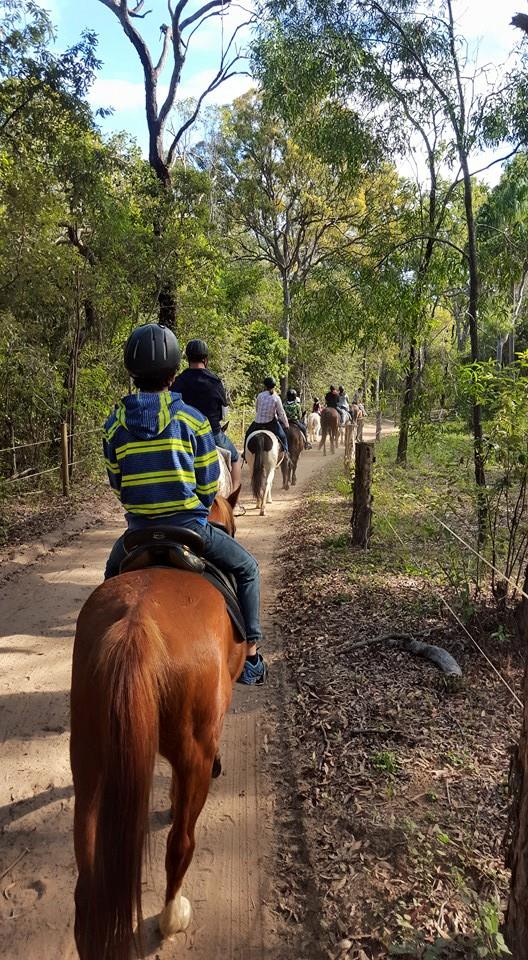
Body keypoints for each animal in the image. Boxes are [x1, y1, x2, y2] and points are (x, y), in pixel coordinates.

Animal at [68, 492, 245, 956]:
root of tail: (135, 627)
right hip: (192, 754)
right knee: (180, 843)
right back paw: (171, 915)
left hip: (88, 760)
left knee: (87, 878)